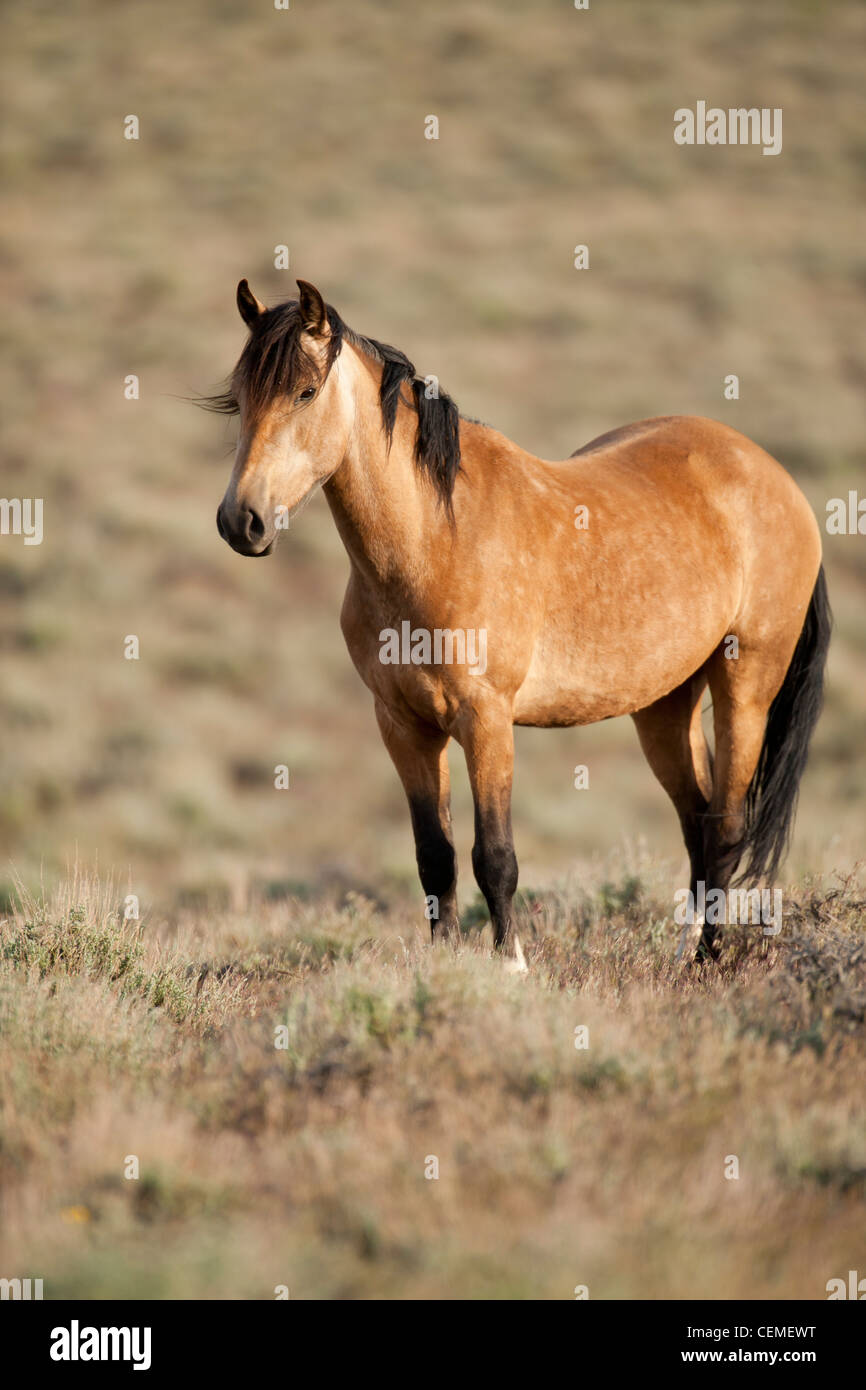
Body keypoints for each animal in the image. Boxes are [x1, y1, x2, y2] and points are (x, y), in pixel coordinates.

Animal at [208, 278, 830, 967]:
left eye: (306, 392)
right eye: (238, 398)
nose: (241, 522)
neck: (436, 539)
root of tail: (774, 476)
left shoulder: (487, 720)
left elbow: (495, 857)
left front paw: (509, 967)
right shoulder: (403, 726)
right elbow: (435, 857)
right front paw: (445, 968)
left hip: (746, 686)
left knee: (725, 826)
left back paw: (707, 960)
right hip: (665, 704)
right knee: (697, 819)